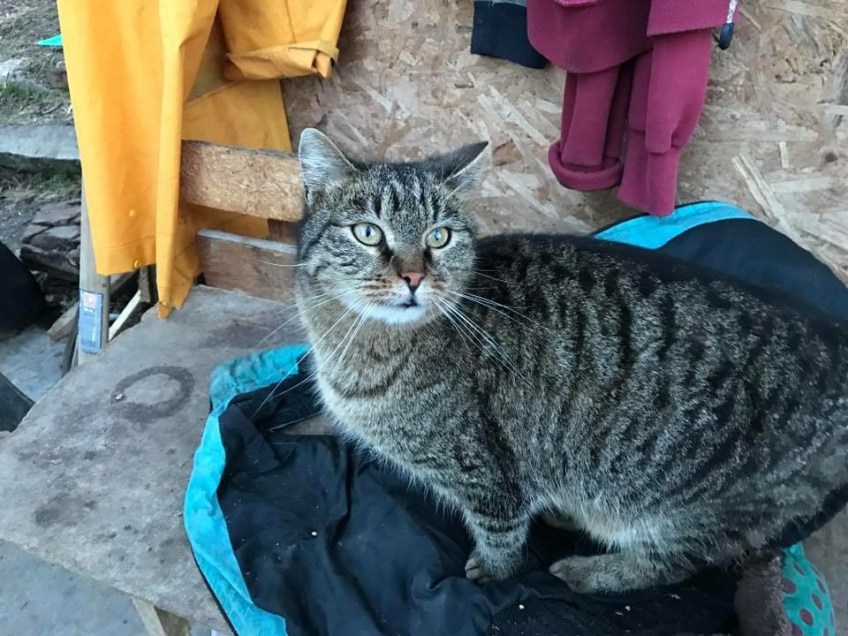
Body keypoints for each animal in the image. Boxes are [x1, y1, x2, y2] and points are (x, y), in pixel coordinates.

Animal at [292, 128, 848, 594]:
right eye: (368, 233)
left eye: (438, 237)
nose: (412, 278)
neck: (360, 345)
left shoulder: (489, 474)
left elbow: (501, 533)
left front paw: (492, 573)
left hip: (691, 510)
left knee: (666, 565)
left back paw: (588, 571)